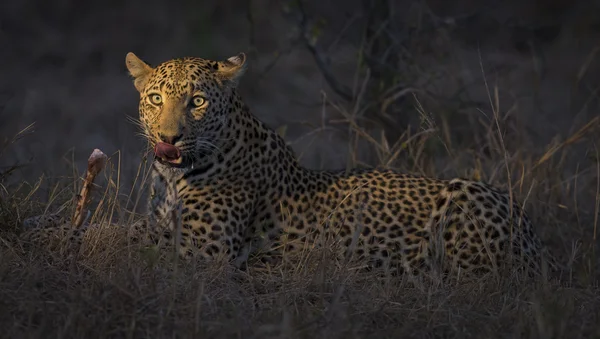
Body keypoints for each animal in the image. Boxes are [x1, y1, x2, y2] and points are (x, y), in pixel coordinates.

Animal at [19, 51, 564, 278]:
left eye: (197, 101)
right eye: (155, 99)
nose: (168, 138)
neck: (173, 176)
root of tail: (538, 239)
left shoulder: (202, 246)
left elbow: (117, 238)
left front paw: (53, 238)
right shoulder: (165, 222)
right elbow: (114, 226)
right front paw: (45, 225)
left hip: (463, 201)